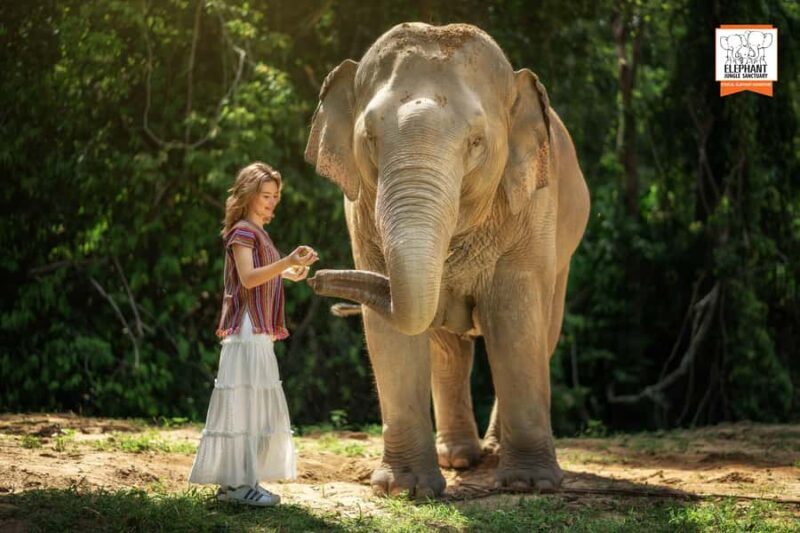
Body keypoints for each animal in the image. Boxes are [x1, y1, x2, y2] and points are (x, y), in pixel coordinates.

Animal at [304, 23, 590, 497]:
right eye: (369, 139)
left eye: (476, 142)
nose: (316, 276)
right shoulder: (362, 215)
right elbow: (390, 333)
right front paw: (403, 489)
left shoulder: (531, 209)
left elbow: (516, 322)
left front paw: (529, 484)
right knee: (448, 349)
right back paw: (457, 458)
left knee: (542, 329)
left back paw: (492, 452)